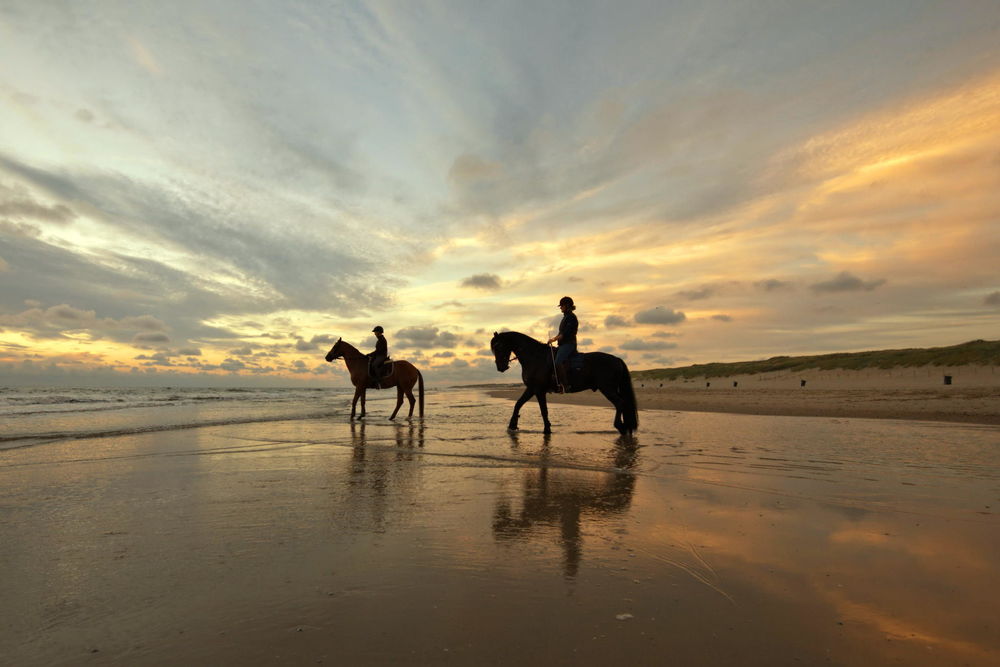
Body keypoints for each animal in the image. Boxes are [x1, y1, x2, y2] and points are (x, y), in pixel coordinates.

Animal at [488, 332, 636, 436]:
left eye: (498, 346)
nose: (500, 367)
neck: (535, 357)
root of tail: (616, 359)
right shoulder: (531, 389)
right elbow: (518, 404)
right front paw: (512, 425)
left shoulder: (538, 390)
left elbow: (543, 410)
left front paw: (547, 429)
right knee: (623, 404)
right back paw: (626, 427)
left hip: (607, 388)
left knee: (620, 403)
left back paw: (620, 426)